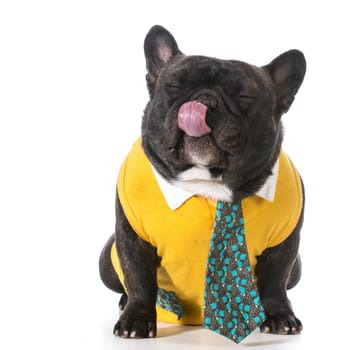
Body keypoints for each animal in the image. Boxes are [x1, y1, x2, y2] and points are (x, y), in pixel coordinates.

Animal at [98, 25, 306, 342]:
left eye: (244, 96)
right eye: (174, 87)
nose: (205, 99)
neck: (207, 181)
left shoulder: (284, 243)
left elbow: (274, 280)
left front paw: (280, 316)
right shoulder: (133, 238)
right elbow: (138, 278)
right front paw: (136, 319)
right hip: (105, 262)